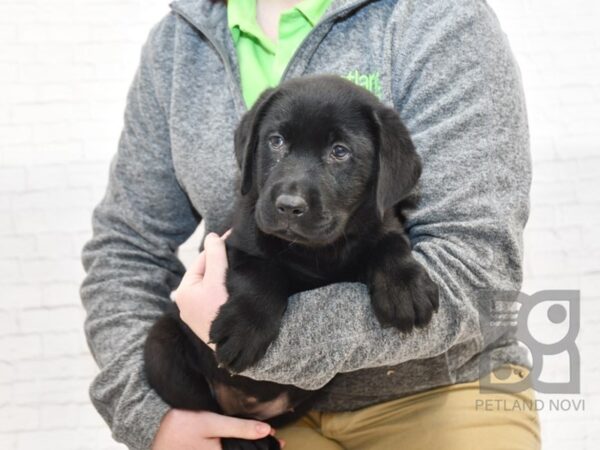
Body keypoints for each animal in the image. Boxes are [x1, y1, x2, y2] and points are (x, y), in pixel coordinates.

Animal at [143, 75, 438, 448]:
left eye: (340, 151)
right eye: (276, 141)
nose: (288, 206)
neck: (316, 251)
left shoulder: (380, 223)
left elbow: (391, 244)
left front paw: (405, 289)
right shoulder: (237, 241)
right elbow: (261, 274)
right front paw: (244, 328)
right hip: (161, 349)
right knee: (215, 415)